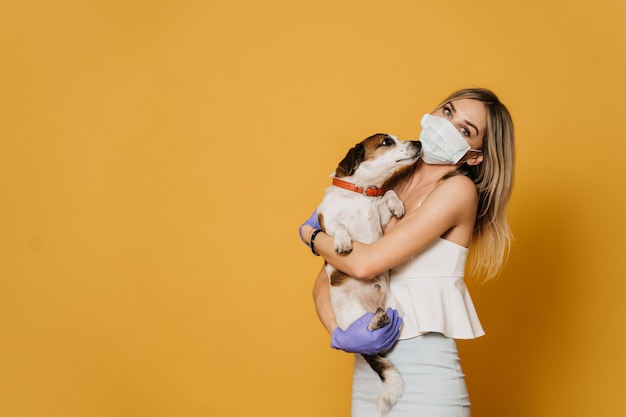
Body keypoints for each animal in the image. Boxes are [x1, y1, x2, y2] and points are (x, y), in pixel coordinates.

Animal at [316, 132, 420, 412]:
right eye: (386, 142)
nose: (418, 143)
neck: (360, 194)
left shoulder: (380, 215)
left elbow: (389, 194)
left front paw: (396, 204)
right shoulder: (327, 220)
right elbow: (339, 226)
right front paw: (343, 242)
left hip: (398, 311)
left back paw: (381, 320)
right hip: (353, 317)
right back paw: (375, 322)